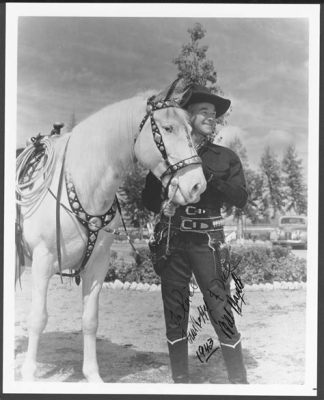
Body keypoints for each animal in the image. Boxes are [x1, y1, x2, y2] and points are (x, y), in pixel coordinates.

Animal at [15, 83, 206, 382]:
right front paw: (29, 373)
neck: (81, 185)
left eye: (190, 129)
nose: (198, 185)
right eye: (168, 128)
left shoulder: (98, 265)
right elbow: (38, 318)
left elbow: (90, 320)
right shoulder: (42, 261)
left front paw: (92, 374)